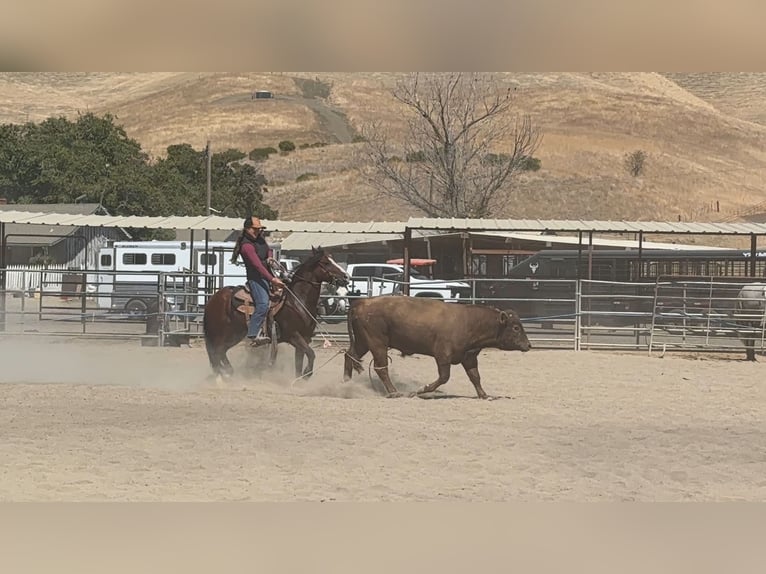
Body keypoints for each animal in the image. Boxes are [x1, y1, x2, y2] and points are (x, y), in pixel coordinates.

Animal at [203, 247, 350, 380]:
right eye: (326, 262)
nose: (346, 277)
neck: (297, 301)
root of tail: (214, 298)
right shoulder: (293, 335)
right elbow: (311, 353)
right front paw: (307, 373)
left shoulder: (305, 337)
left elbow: (299, 362)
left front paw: (298, 381)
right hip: (220, 333)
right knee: (217, 351)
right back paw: (225, 373)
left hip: (235, 334)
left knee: (221, 351)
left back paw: (228, 371)